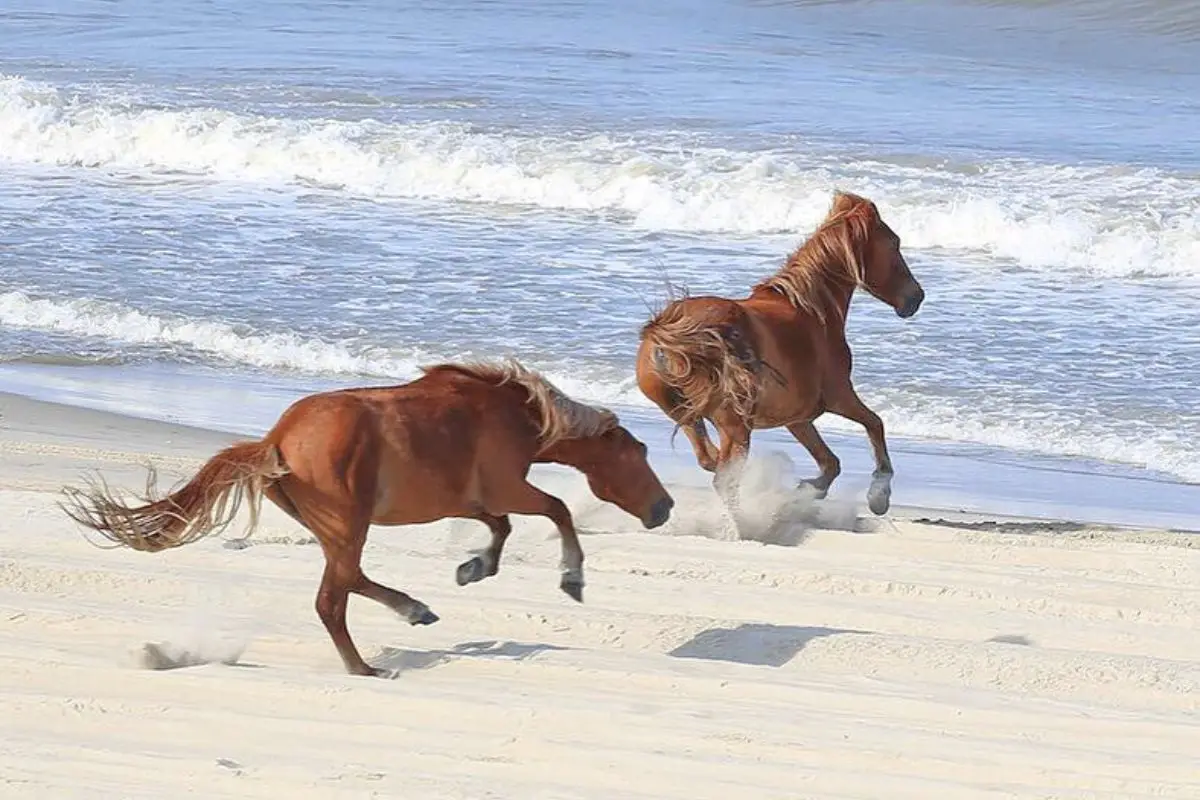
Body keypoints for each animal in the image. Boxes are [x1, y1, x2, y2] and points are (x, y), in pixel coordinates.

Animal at [60, 360, 674, 677]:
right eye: (640, 453)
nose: (665, 507)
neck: (517, 416)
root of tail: (275, 439)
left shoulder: (476, 500)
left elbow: (499, 529)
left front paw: (473, 569)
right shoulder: (510, 487)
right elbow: (558, 510)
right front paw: (572, 578)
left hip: (336, 529)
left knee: (347, 583)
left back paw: (413, 613)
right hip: (347, 524)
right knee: (332, 600)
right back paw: (370, 664)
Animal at [635, 191, 924, 517]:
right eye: (894, 243)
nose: (916, 298)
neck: (812, 311)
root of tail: (667, 336)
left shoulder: (798, 418)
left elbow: (830, 463)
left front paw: (808, 490)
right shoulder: (840, 396)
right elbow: (875, 424)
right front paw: (879, 496)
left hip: (686, 415)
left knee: (709, 460)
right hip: (734, 426)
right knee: (724, 478)